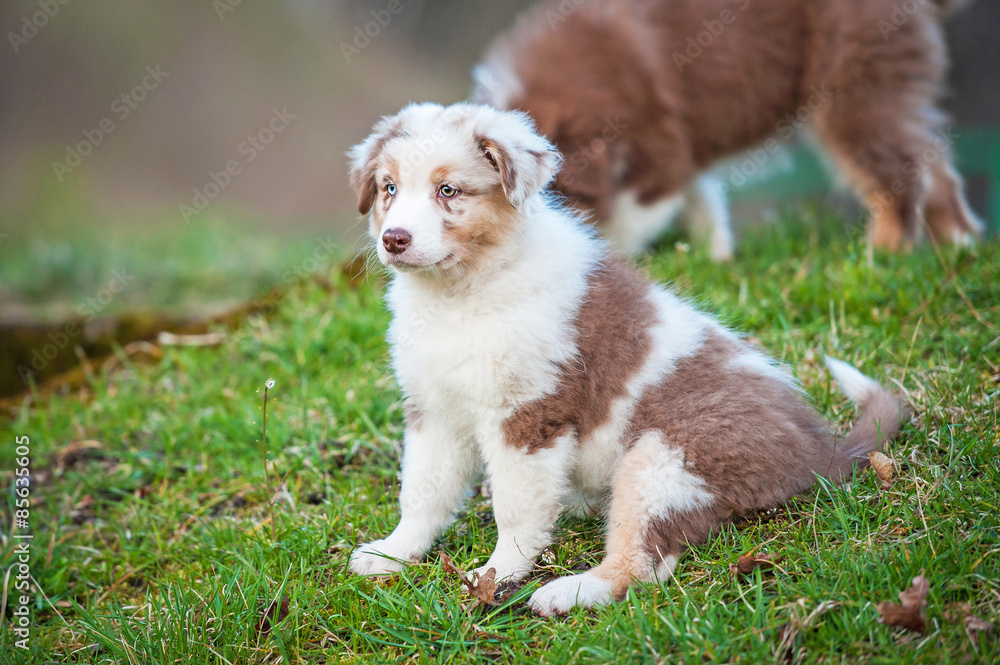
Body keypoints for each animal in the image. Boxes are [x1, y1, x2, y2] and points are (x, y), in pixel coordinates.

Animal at [348, 101, 912, 616]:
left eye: (449, 191)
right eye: (389, 188)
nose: (393, 239)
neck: (461, 292)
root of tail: (819, 450)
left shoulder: (528, 414)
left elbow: (515, 509)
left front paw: (496, 575)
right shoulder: (434, 410)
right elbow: (423, 492)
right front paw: (392, 554)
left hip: (663, 459)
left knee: (641, 565)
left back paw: (566, 593)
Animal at [472, 0, 980, 254]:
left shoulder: (659, 147)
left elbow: (632, 218)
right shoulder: (680, 152)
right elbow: (704, 202)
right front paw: (716, 257)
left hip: (853, 85)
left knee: (900, 169)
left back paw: (884, 254)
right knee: (934, 164)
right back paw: (960, 244)